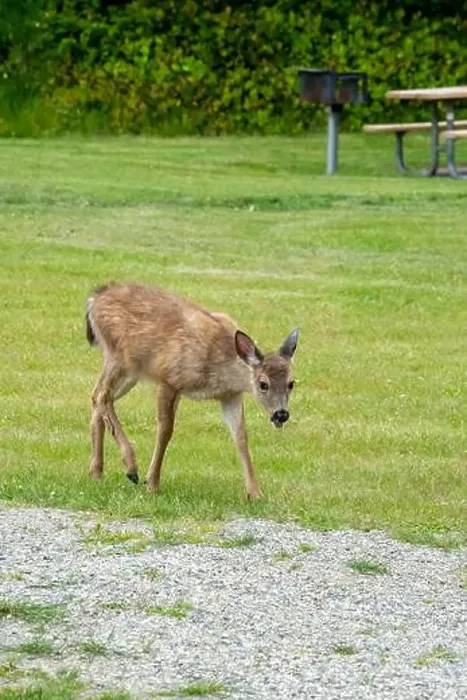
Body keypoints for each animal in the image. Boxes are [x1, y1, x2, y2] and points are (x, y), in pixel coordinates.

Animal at [85, 282, 298, 499]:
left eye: (291, 383)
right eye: (263, 384)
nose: (281, 414)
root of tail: (94, 299)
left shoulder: (230, 396)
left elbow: (240, 436)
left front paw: (255, 493)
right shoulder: (170, 378)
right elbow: (165, 430)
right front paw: (152, 483)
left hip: (130, 372)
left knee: (97, 396)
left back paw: (97, 471)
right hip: (120, 357)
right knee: (102, 395)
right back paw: (130, 468)